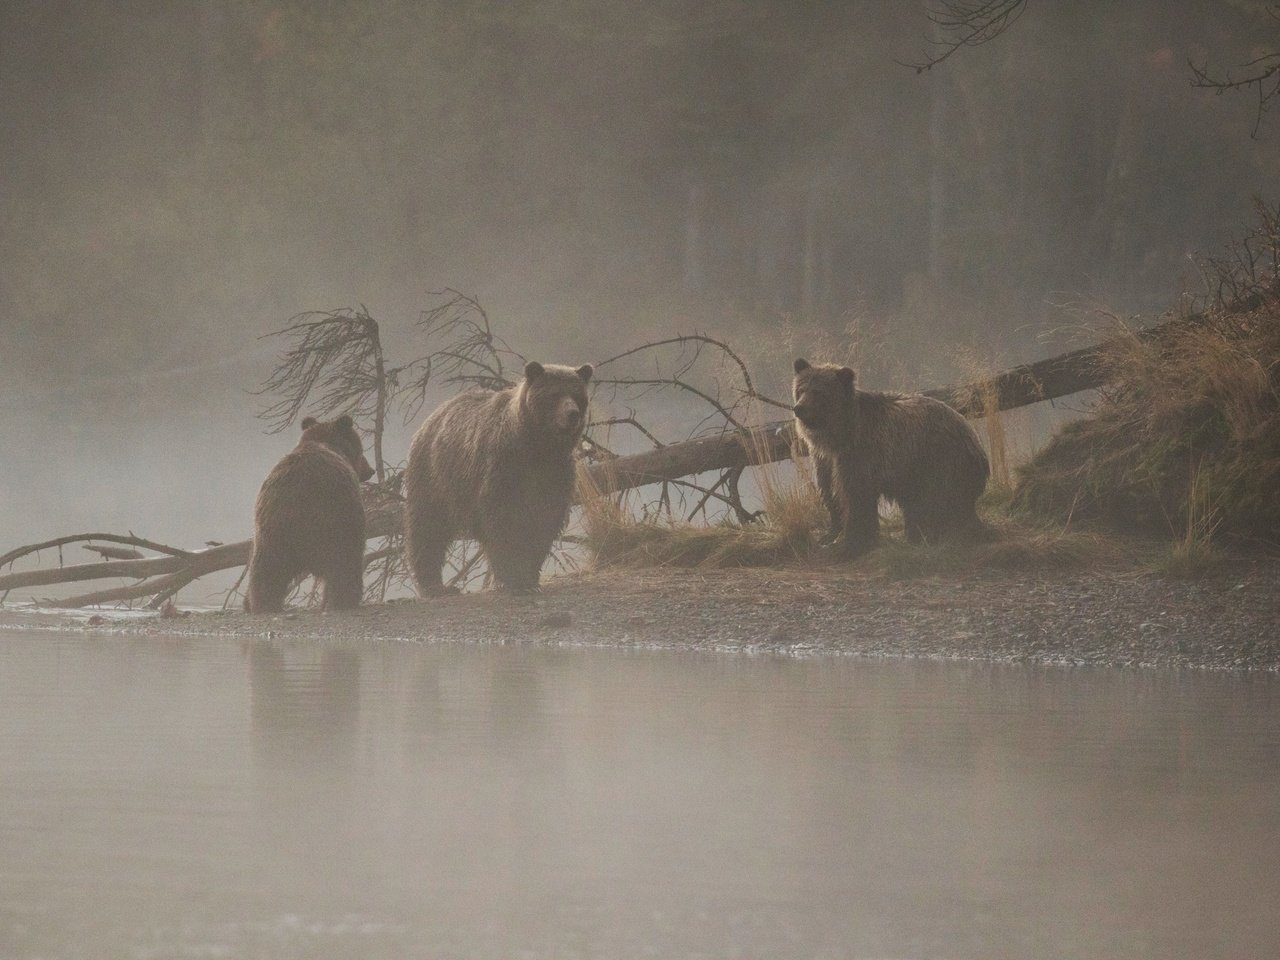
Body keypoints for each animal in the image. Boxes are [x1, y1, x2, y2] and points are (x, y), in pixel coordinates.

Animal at [241, 414, 373, 616]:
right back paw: (345, 600)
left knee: (266, 572)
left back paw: (261, 605)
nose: (370, 470)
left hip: (272, 532)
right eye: (362, 450)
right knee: (344, 563)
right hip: (333, 520)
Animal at [404, 363, 593, 599]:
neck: (538, 446)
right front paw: (513, 578)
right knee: (428, 527)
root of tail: (432, 416)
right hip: (435, 475)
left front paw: (530, 577)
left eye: (577, 395)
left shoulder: (555, 474)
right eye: (555, 394)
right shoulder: (502, 467)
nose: (572, 414)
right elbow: (502, 521)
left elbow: (544, 521)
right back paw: (436, 586)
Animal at [788, 358, 988, 555]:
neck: (839, 435)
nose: (799, 408)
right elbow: (830, 491)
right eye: (801, 389)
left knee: (937, 502)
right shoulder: (825, 459)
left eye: (818, 391)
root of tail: (974, 438)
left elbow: (856, 497)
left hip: (939, 461)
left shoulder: (860, 454)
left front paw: (851, 545)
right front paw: (829, 535)